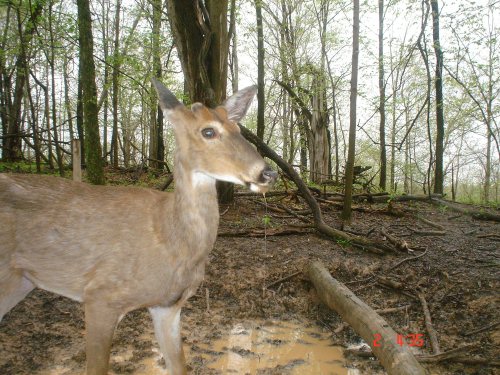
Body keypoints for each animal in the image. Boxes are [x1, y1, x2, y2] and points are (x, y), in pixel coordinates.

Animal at [0, 78, 278, 374]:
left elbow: (179, 366)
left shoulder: (168, 306)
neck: (170, 239)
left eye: (238, 128)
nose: (268, 172)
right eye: (208, 131)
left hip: (21, 281)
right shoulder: (100, 295)